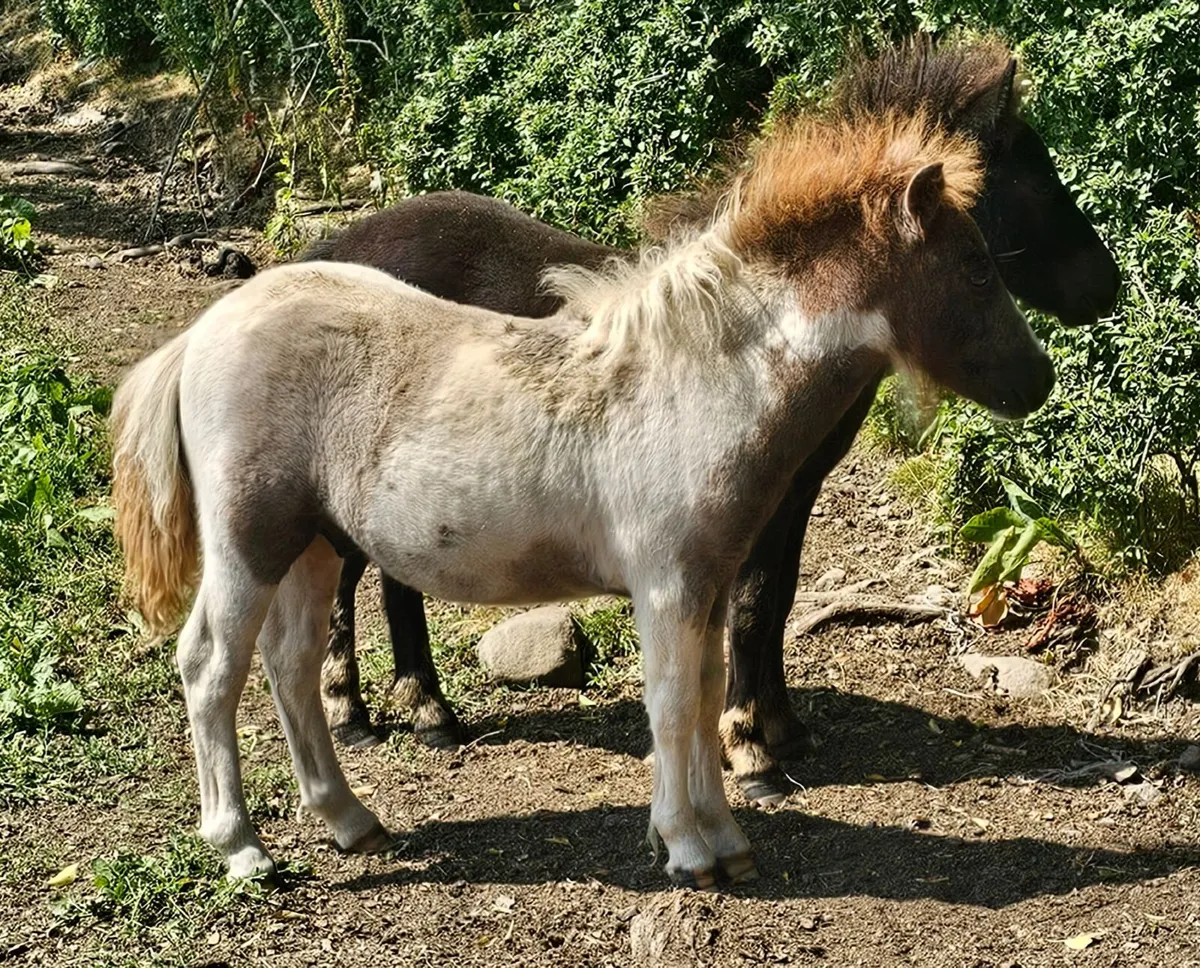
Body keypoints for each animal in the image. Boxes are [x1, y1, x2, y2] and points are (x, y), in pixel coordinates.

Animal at [112, 104, 1055, 887]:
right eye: (975, 268)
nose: (1039, 381)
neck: (693, 383)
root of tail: (203, 332)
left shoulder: (708, 584)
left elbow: (705, 697)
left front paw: (726, 839)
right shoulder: (666, 584)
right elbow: (671, 706)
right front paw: (687, 850)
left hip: (311, 545)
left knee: (293, 664)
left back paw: (352, 820)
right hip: (248, 541)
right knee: (210, 666)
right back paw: (242, 847)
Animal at [307, 36, 1121, 805]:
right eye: (1031, 173)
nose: (1106, 287)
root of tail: (333, 249)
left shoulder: (796, 492)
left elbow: (778, 598)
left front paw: (782, 726)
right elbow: (755, 604)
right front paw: (750, 748)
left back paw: (420, 712)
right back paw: (367, 711)